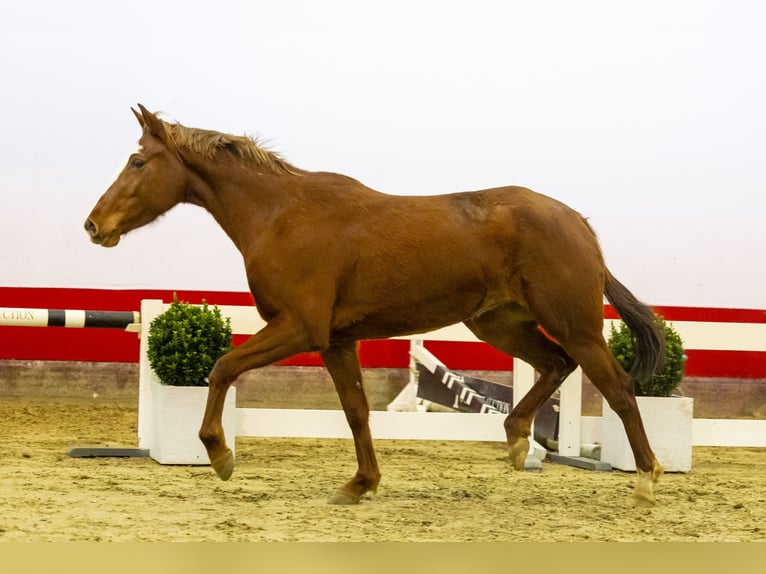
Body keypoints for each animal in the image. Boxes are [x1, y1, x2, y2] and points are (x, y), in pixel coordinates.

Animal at [85, 104, 664, 508]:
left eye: (137, 160)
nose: (94, 225)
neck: (281, 216)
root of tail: (579, 224)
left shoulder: (300, 329)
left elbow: (223, 366)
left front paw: (220, 454)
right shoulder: (337, 341)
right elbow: (357, 411)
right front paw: (360, 484)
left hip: (576, 326)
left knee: (618, 388)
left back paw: (646, 480)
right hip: (499, 324)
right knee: (554, 365)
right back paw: (519, 441)